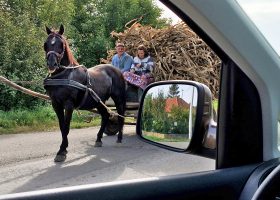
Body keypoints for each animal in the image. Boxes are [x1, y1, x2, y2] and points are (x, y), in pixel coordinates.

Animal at [43, 25, 126, 162]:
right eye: (45, 44)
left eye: (61, 44)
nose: (51, 64)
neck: (64, 75)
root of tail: (117, 70)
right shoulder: (56, 104)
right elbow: (61, 127)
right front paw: (63, 149)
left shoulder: (69, 104)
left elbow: (66, 127)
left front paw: (62, 151)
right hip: (99, 101)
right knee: (105, 116)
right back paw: (98, 139)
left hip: (118, 99)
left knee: (120, 116)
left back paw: (119, 139)